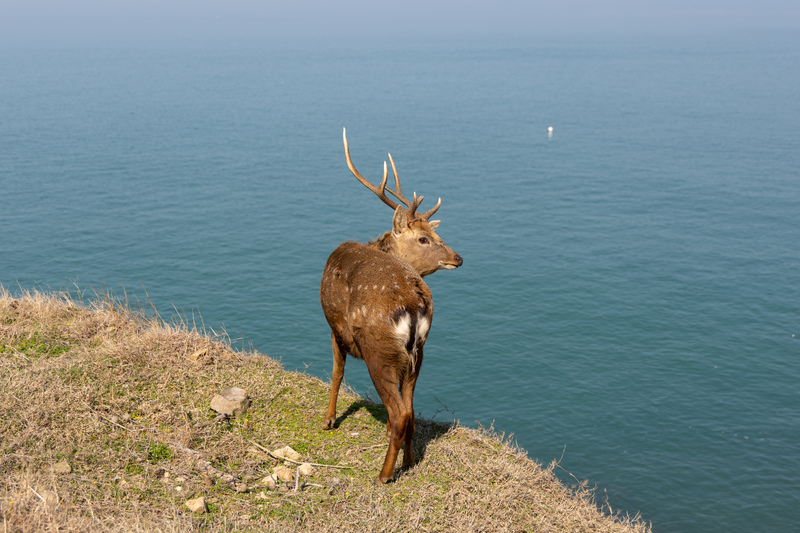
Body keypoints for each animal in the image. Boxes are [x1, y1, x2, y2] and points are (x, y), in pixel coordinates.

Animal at [318, 128, 462, 482]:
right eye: (423, 238)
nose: (458, 257)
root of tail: (413, 303)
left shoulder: (334, 327)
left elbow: (336, 372)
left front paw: (328, 420)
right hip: (417, 353)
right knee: (409, 410)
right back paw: (408, 462)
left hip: (379, 350)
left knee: (399, 413)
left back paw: (383, 473)